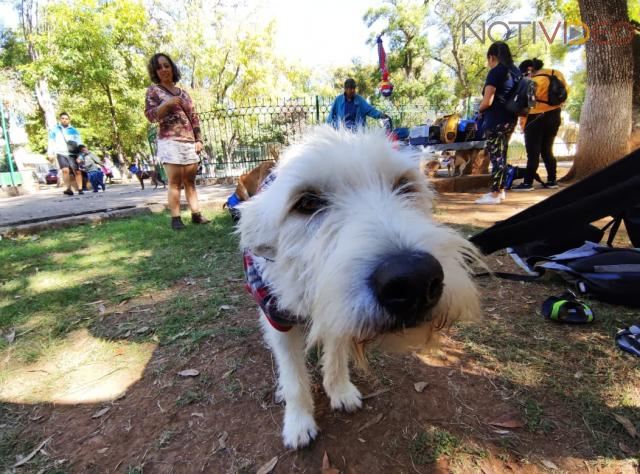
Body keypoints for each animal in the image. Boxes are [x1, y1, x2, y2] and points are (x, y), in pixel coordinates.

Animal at [239, 126, 480, 448]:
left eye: (405, 185)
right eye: (307, 203)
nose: (414, 281)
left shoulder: (337, 310)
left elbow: (337, 352)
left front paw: (339, 389)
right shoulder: (277, 317)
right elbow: (293, 375)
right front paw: (299, 422)